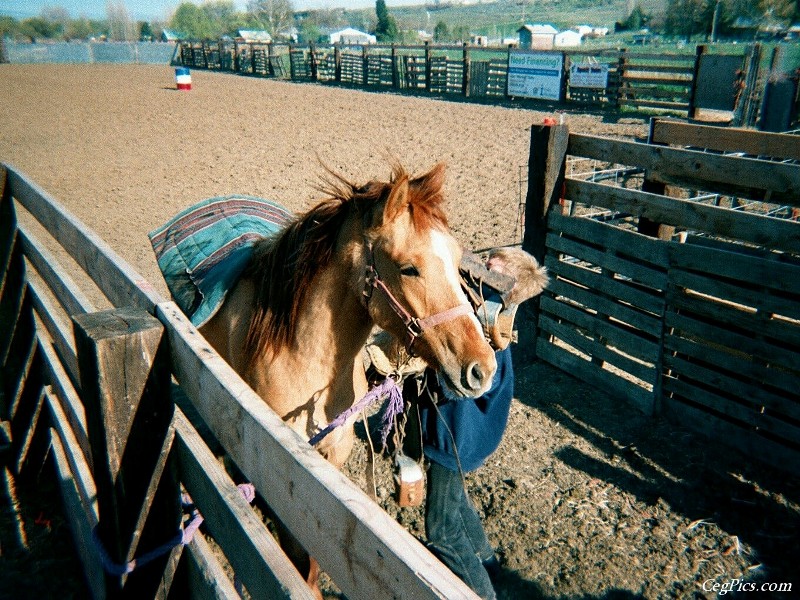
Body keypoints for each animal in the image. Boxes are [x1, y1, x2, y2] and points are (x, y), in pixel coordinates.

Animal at [195, 162, 496, 596]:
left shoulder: (331, 456)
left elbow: (312, 556)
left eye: (457, 260)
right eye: (409, 268)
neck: (307, 360)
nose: (482, 368)